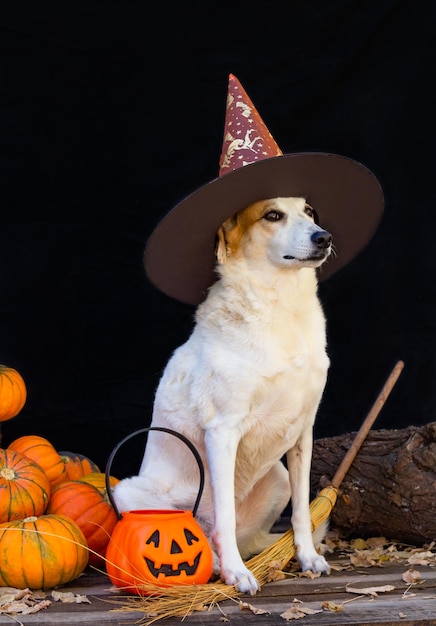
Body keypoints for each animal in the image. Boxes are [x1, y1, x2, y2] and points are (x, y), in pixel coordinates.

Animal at [114, 194, 332, 588]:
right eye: (272, 215)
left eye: (308, 212)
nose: (323, 237)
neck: (281, 306)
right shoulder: (222, 431)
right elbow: (225, 517)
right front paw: (236, 573)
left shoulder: (303, 432)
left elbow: (302, 512)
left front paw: (307, 557)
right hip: (129, 492)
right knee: (211, 531)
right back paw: (218, 563)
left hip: (278, 476)